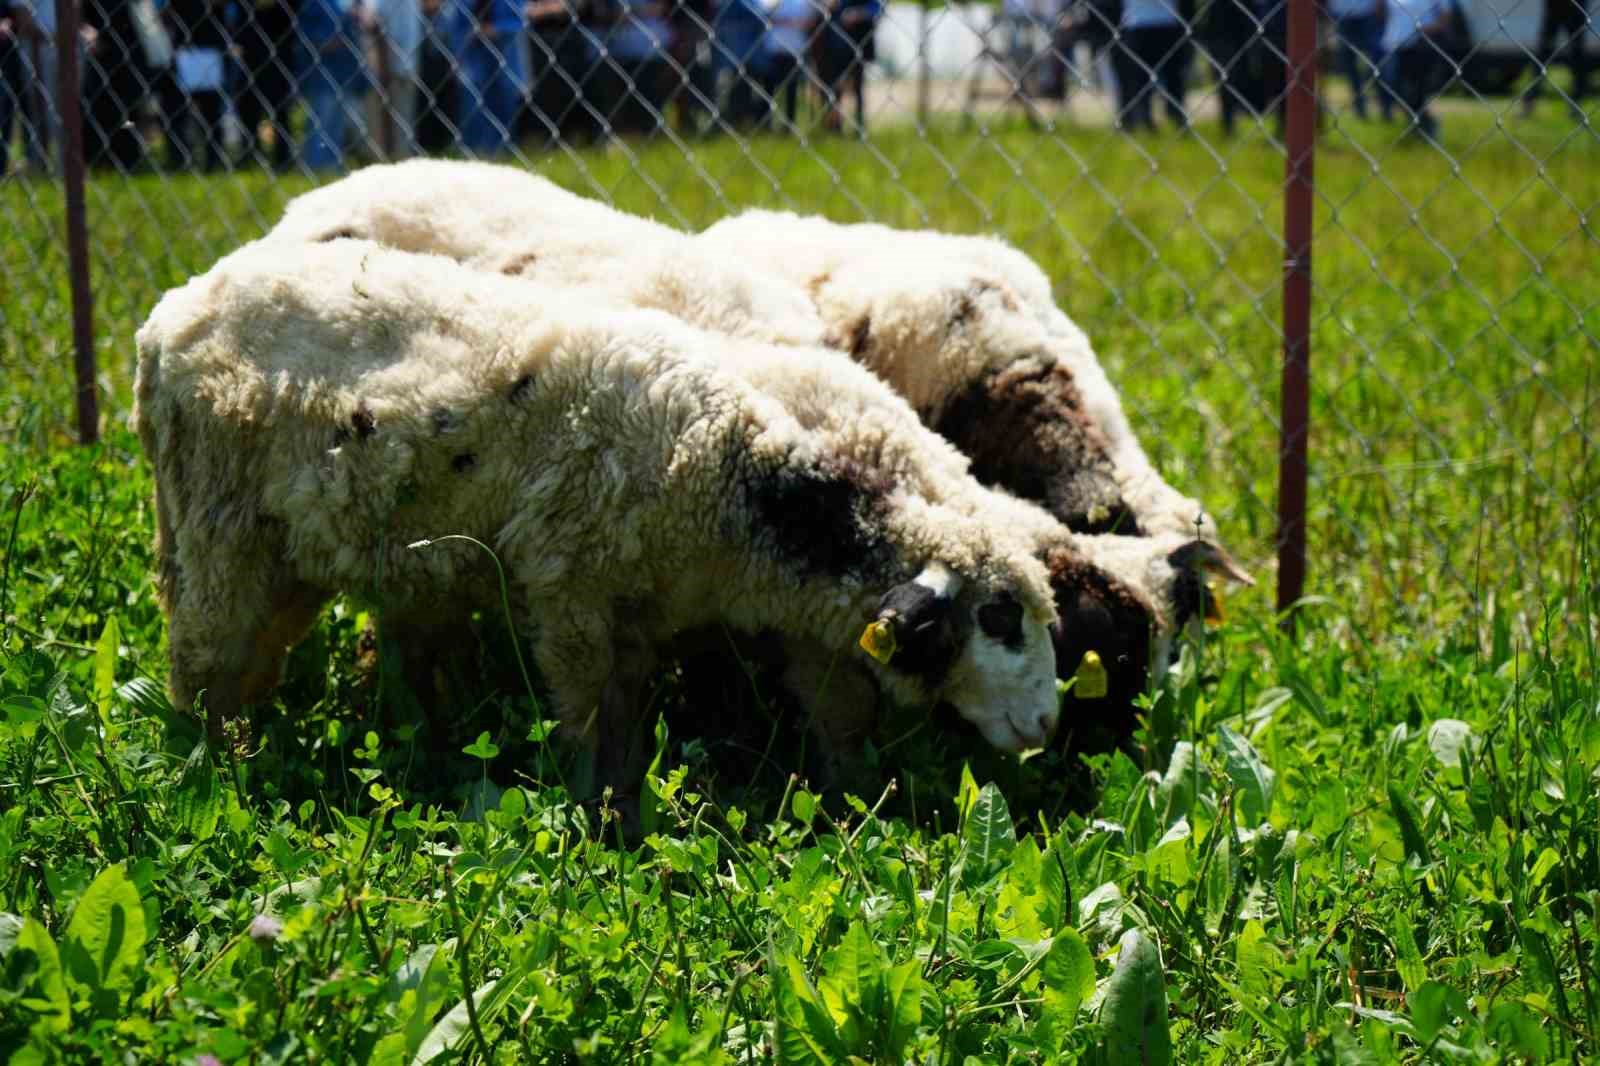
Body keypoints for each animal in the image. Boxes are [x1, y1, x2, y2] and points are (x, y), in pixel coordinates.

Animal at [134, 238, 1062, 781]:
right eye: (1000, 618)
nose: (1049, 723)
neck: (734, 479)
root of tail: (170, 314)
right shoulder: (571, 590)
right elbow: (592, 731)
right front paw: (602, 830)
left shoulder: (641, 615)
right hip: (214, 520)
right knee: (204, 662)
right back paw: (218, 771)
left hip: (280, 548)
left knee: (248, 659)